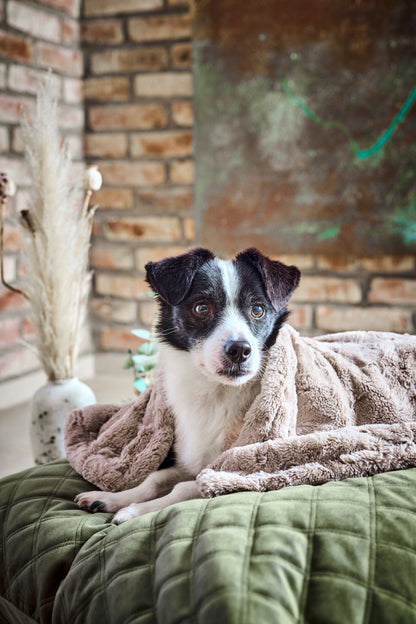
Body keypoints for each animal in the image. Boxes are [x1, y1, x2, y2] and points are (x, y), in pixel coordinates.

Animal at [76, 247, 300, 520]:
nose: (239, 350)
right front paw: (111, 498)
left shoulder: (230, 470)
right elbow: (153, 479)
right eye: (201, 308)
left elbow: (182, 489)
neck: (218, 393)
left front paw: (135, 511)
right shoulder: (193, 461)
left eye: (257, 310)